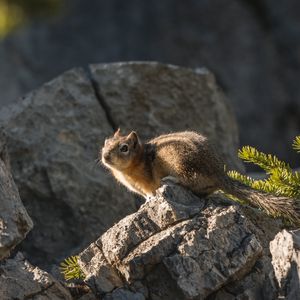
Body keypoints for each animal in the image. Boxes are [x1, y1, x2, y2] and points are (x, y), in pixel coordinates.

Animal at [101, 128, 300, 223]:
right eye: (106, 142)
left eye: (124, 148)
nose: (105, 156)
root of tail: (219, 174)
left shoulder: (145, 183)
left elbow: (149, 193)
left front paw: (149, 200)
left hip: (180, 162)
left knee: (189, 179)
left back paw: (171, 179)